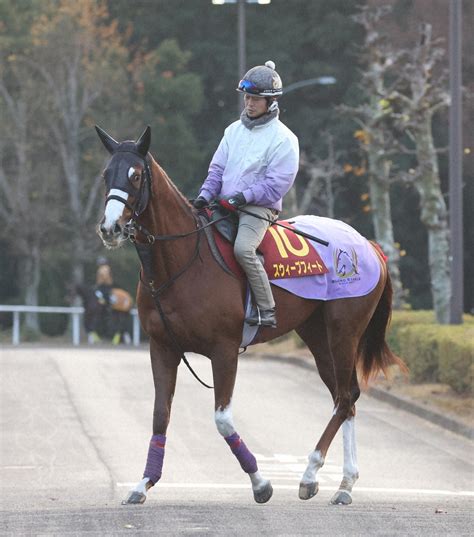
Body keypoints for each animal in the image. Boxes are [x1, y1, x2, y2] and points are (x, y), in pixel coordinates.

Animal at [94, 125, 406, 506]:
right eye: (106, 174)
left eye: (136, 175)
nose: (110, 227)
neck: (183, 260)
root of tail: (368, 245)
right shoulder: (162, 347)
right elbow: (160, 415)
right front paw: (143, 483)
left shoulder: (224, 351)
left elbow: (223, 420)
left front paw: (260, 482)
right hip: (318, 336)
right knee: (346, 398)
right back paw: (343, 481)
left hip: (344, 333)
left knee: (345, 398)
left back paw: (313, 474)